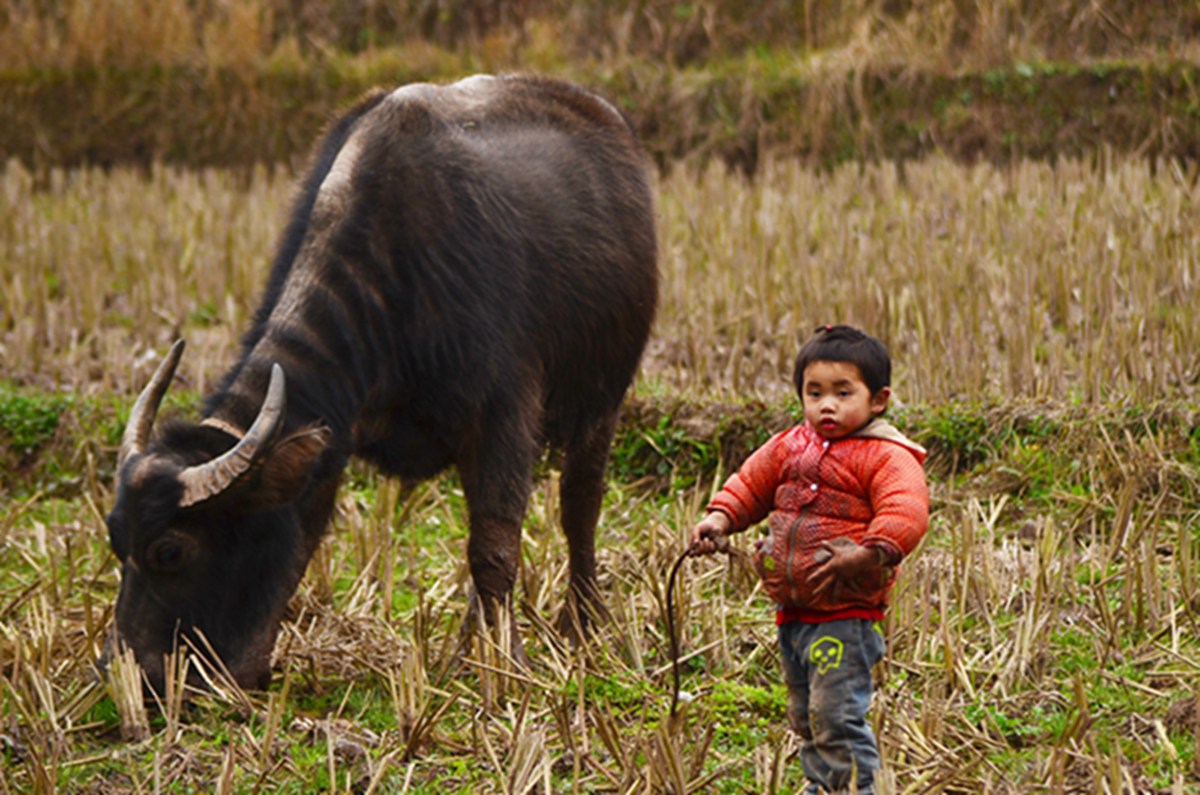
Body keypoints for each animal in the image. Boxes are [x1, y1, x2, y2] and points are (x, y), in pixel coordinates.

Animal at [105, 78, 657, 696]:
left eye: (171, 551)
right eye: (116, 540)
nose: (129, 675)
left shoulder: (505, 414)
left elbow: (494, 548)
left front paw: (507, 666)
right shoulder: (334, 435)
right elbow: (307, 542)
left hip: (603, 399)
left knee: (579, 506)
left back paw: (582, 623)